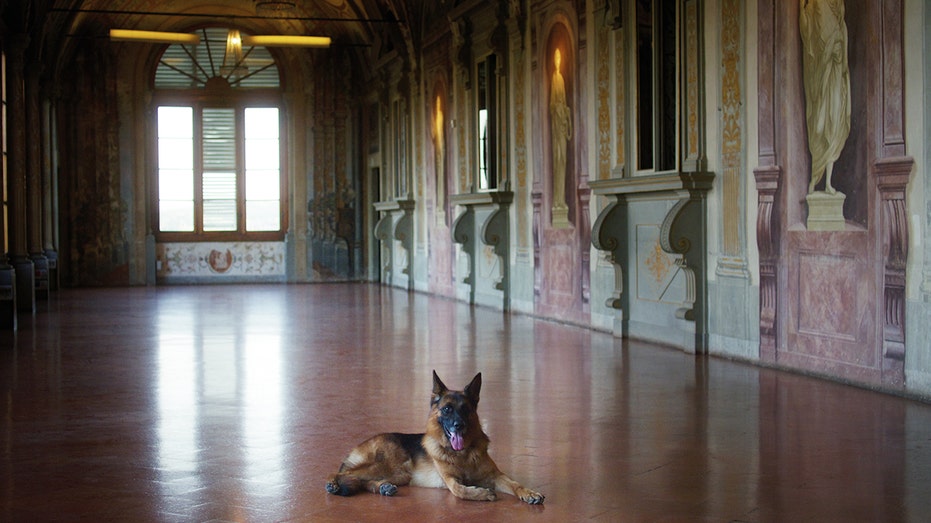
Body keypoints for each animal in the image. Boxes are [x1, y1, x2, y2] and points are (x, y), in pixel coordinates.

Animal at [328, 370, 548, 506]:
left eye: (466, 409)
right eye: (447, 409)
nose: (458, 425)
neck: (463, 454)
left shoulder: (496, 476)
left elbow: (515, 483)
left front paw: (529, 493)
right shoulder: (450, 480)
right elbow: (461, 491)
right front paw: (483, 494)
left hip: (400, 474)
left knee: (360, 480)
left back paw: (383, 487)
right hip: (386, 464)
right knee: (344, 473)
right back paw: (333, 484)